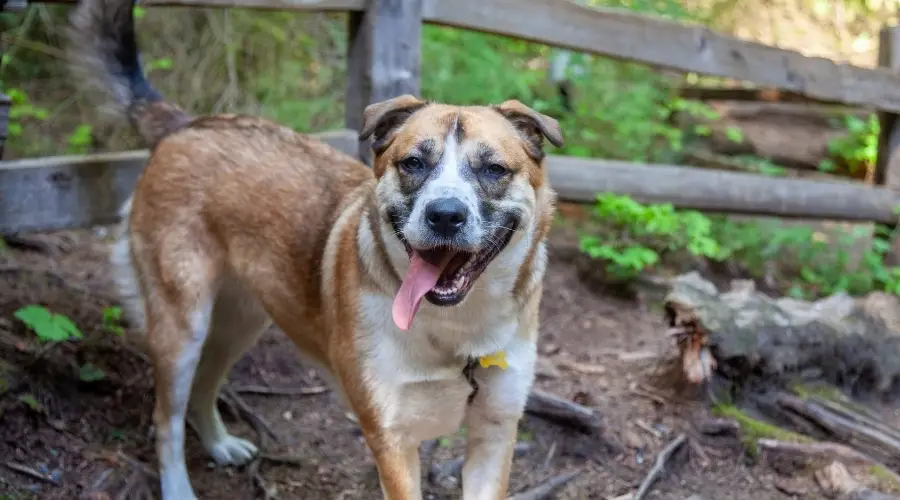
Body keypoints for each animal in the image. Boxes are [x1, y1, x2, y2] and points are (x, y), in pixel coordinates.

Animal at [68, 0, 564, 496]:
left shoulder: (494, 436)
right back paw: (177, 484)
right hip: (181, 325)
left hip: (242, 320)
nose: (444, 215)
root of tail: (188, 123)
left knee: (205, 385)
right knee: (166, 418)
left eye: (493, 169)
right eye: (413, 164)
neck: (457, 328)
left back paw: (220, 444)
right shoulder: (392, 441)